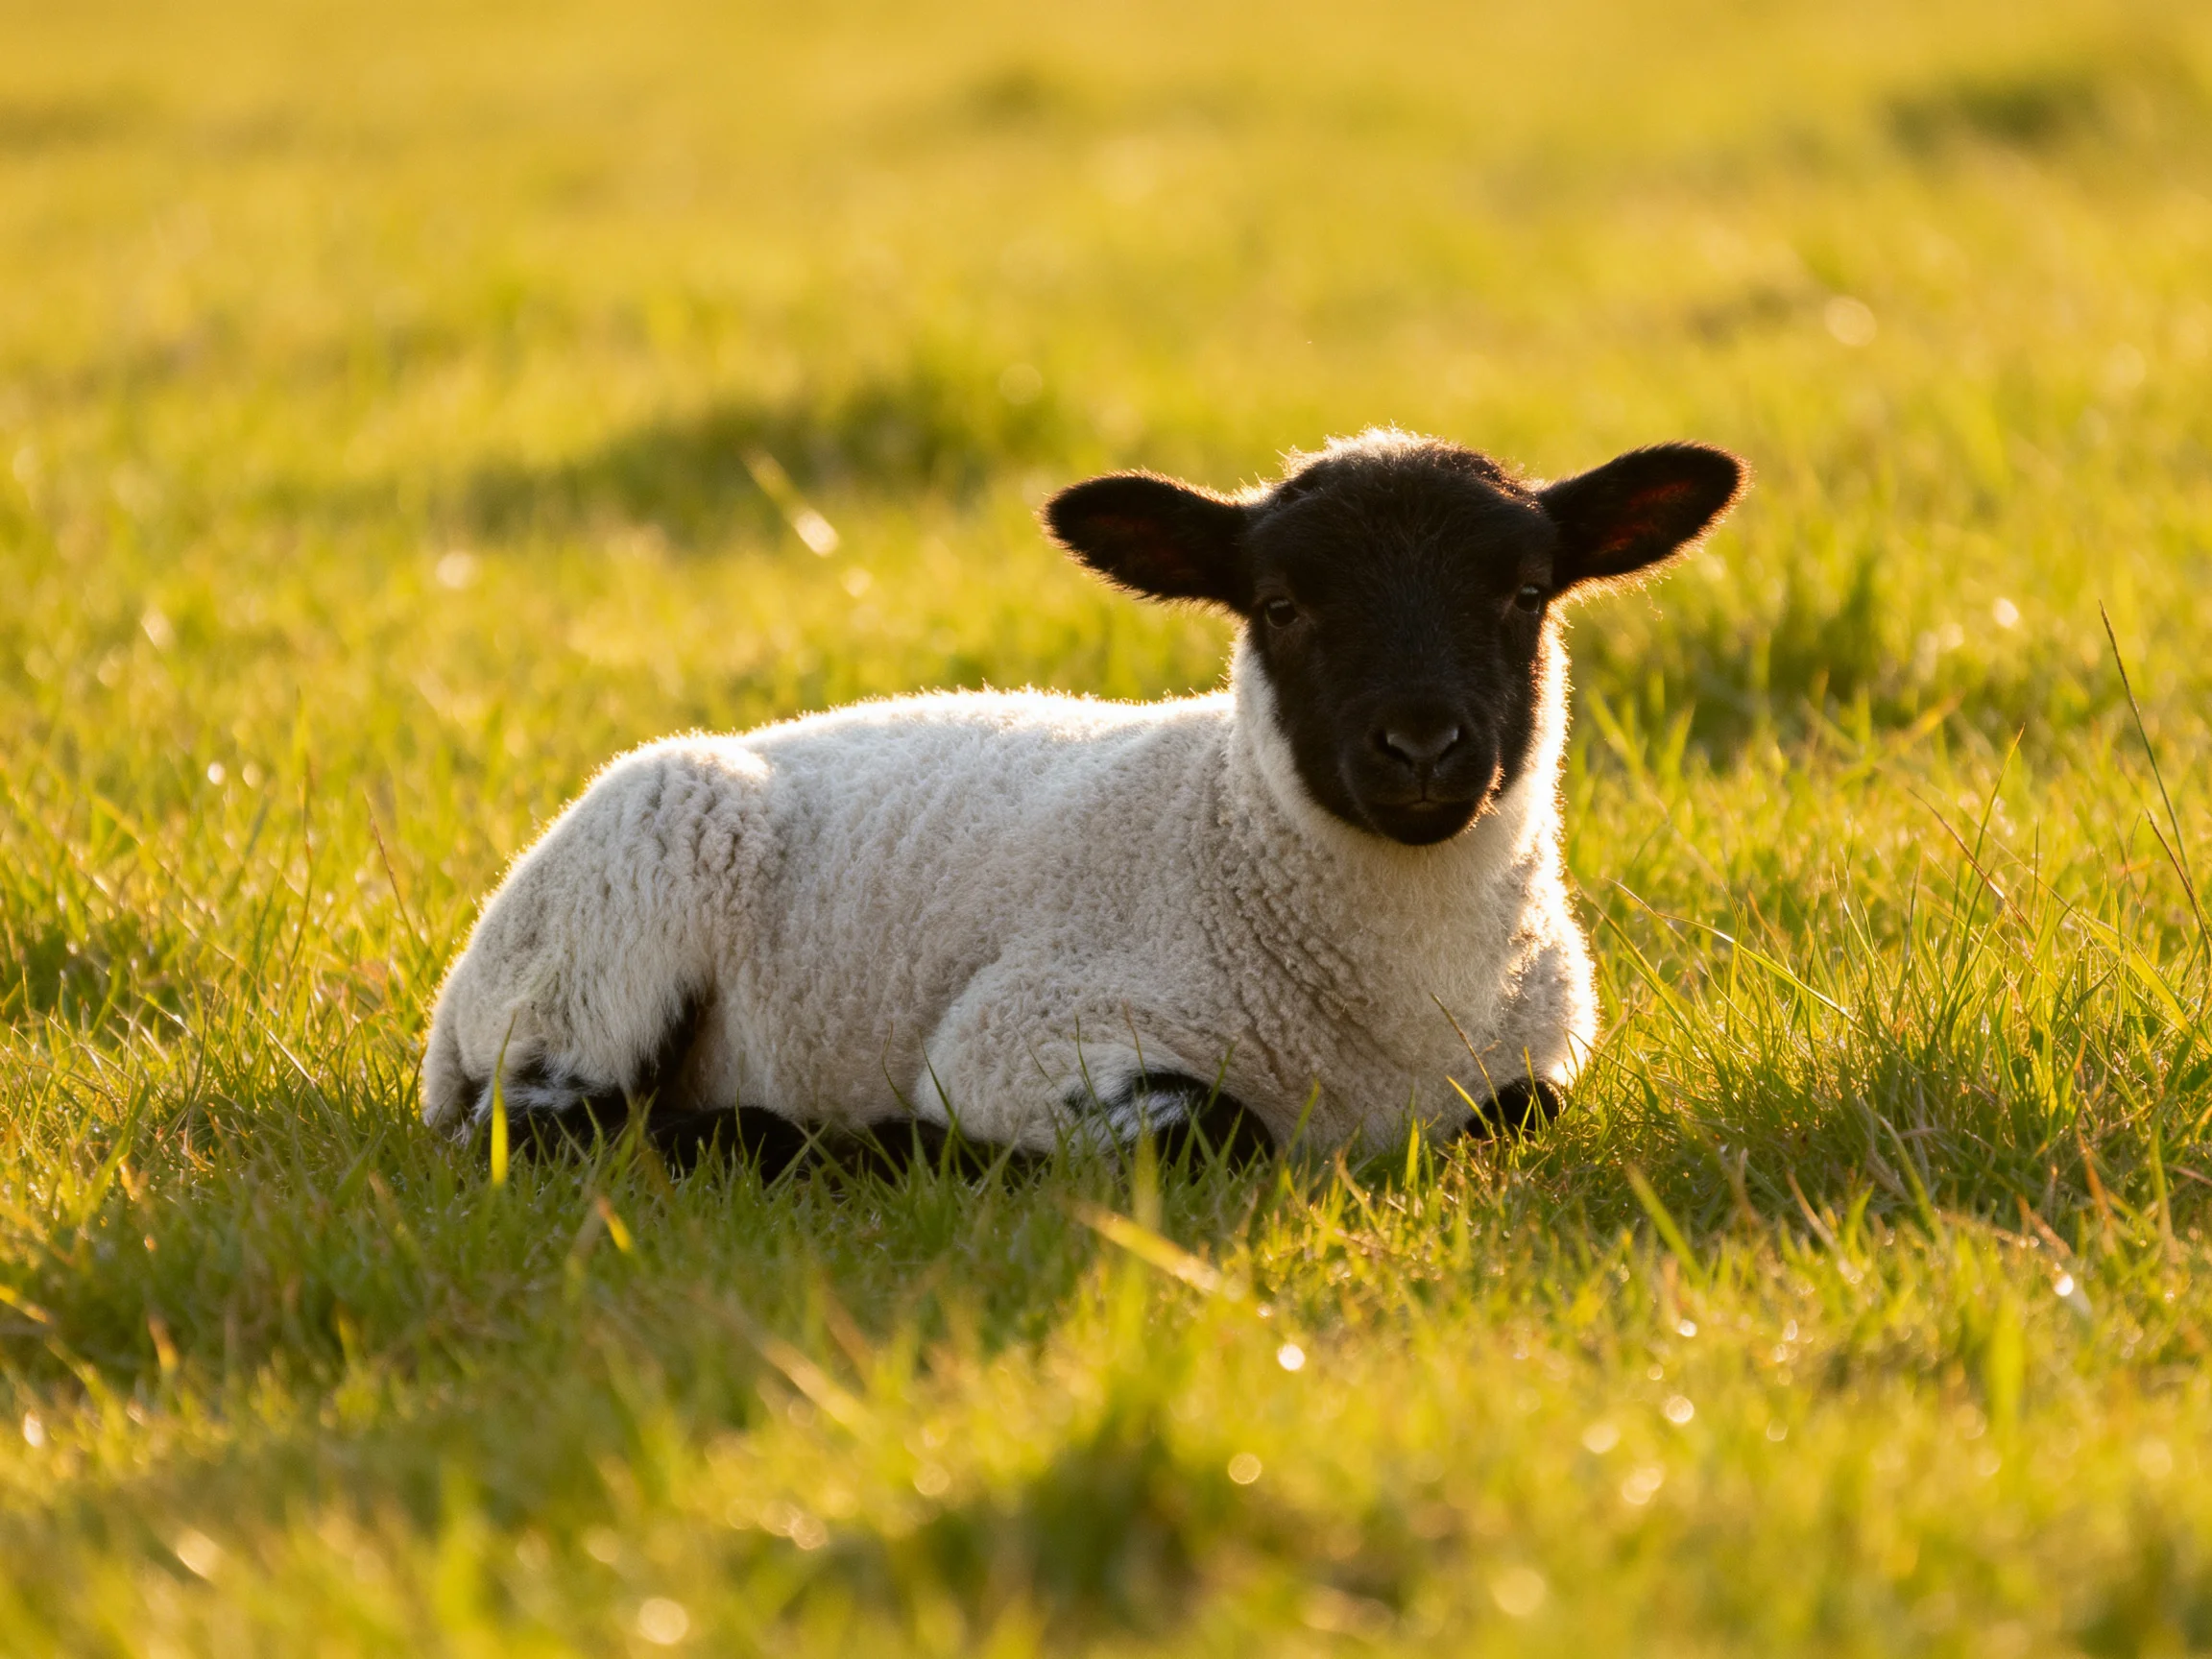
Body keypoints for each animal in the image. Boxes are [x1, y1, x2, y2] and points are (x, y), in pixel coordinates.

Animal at [419, 428, 1744, 1160]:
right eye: (1281, 606)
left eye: (1525, 595)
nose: (1419, 746)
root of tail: (448, 1015)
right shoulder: (1022, 1029)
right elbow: (1220, 1130)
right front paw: (924, 1143)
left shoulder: (1537, 1063)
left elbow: (1524, 1110)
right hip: (604, 935)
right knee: (546, 1124)